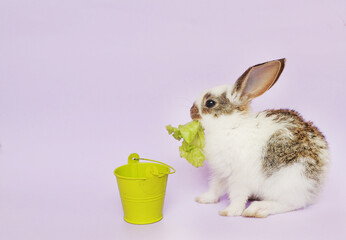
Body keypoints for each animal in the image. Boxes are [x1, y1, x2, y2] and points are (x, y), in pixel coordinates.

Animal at [192, 58, 330, 218]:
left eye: (210, 103)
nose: (191, 112)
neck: (232, 126)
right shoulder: (221, 173)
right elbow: (215, 187)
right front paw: (204, 199)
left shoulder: (240, 177)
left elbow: (237, 195)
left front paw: (229, 211)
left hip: (290, 179)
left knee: (292, 203)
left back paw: (258, 209)